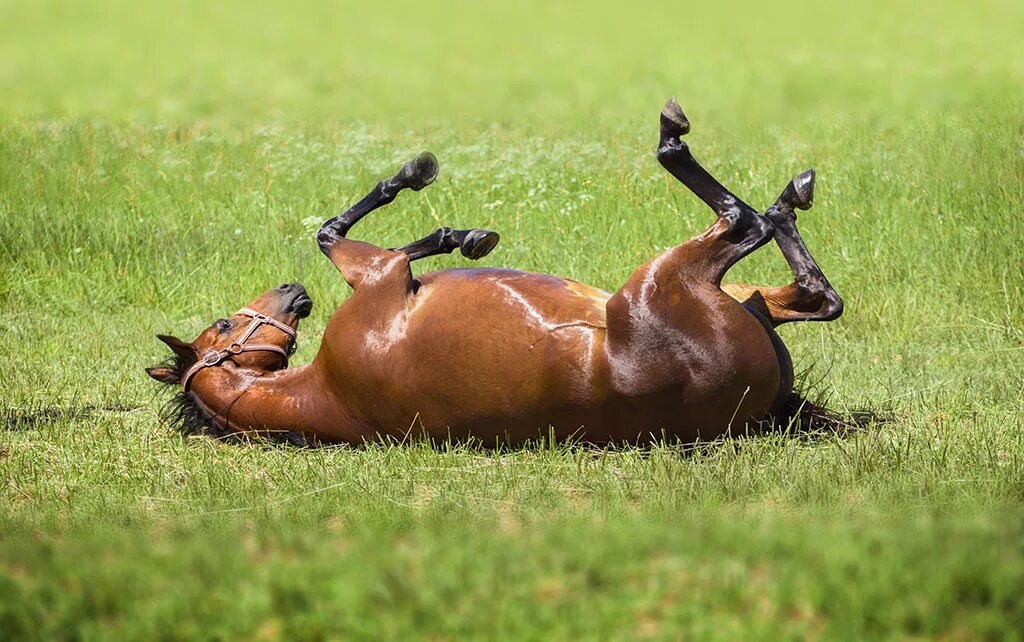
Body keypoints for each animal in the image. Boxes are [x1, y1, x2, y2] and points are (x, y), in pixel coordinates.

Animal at [148, 97, 843, 446]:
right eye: (222, 324)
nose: (291, 293)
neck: (327, 393)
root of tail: (769, 407)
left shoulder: (381, 274)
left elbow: (340, 231)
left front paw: (457, 232)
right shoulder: (381, 274)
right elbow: (333, 233)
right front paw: (436, 205)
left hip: (747, 296)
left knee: (814, 292)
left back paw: (788, 197)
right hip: (666, 276)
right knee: (747, 226)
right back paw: (729, 165)